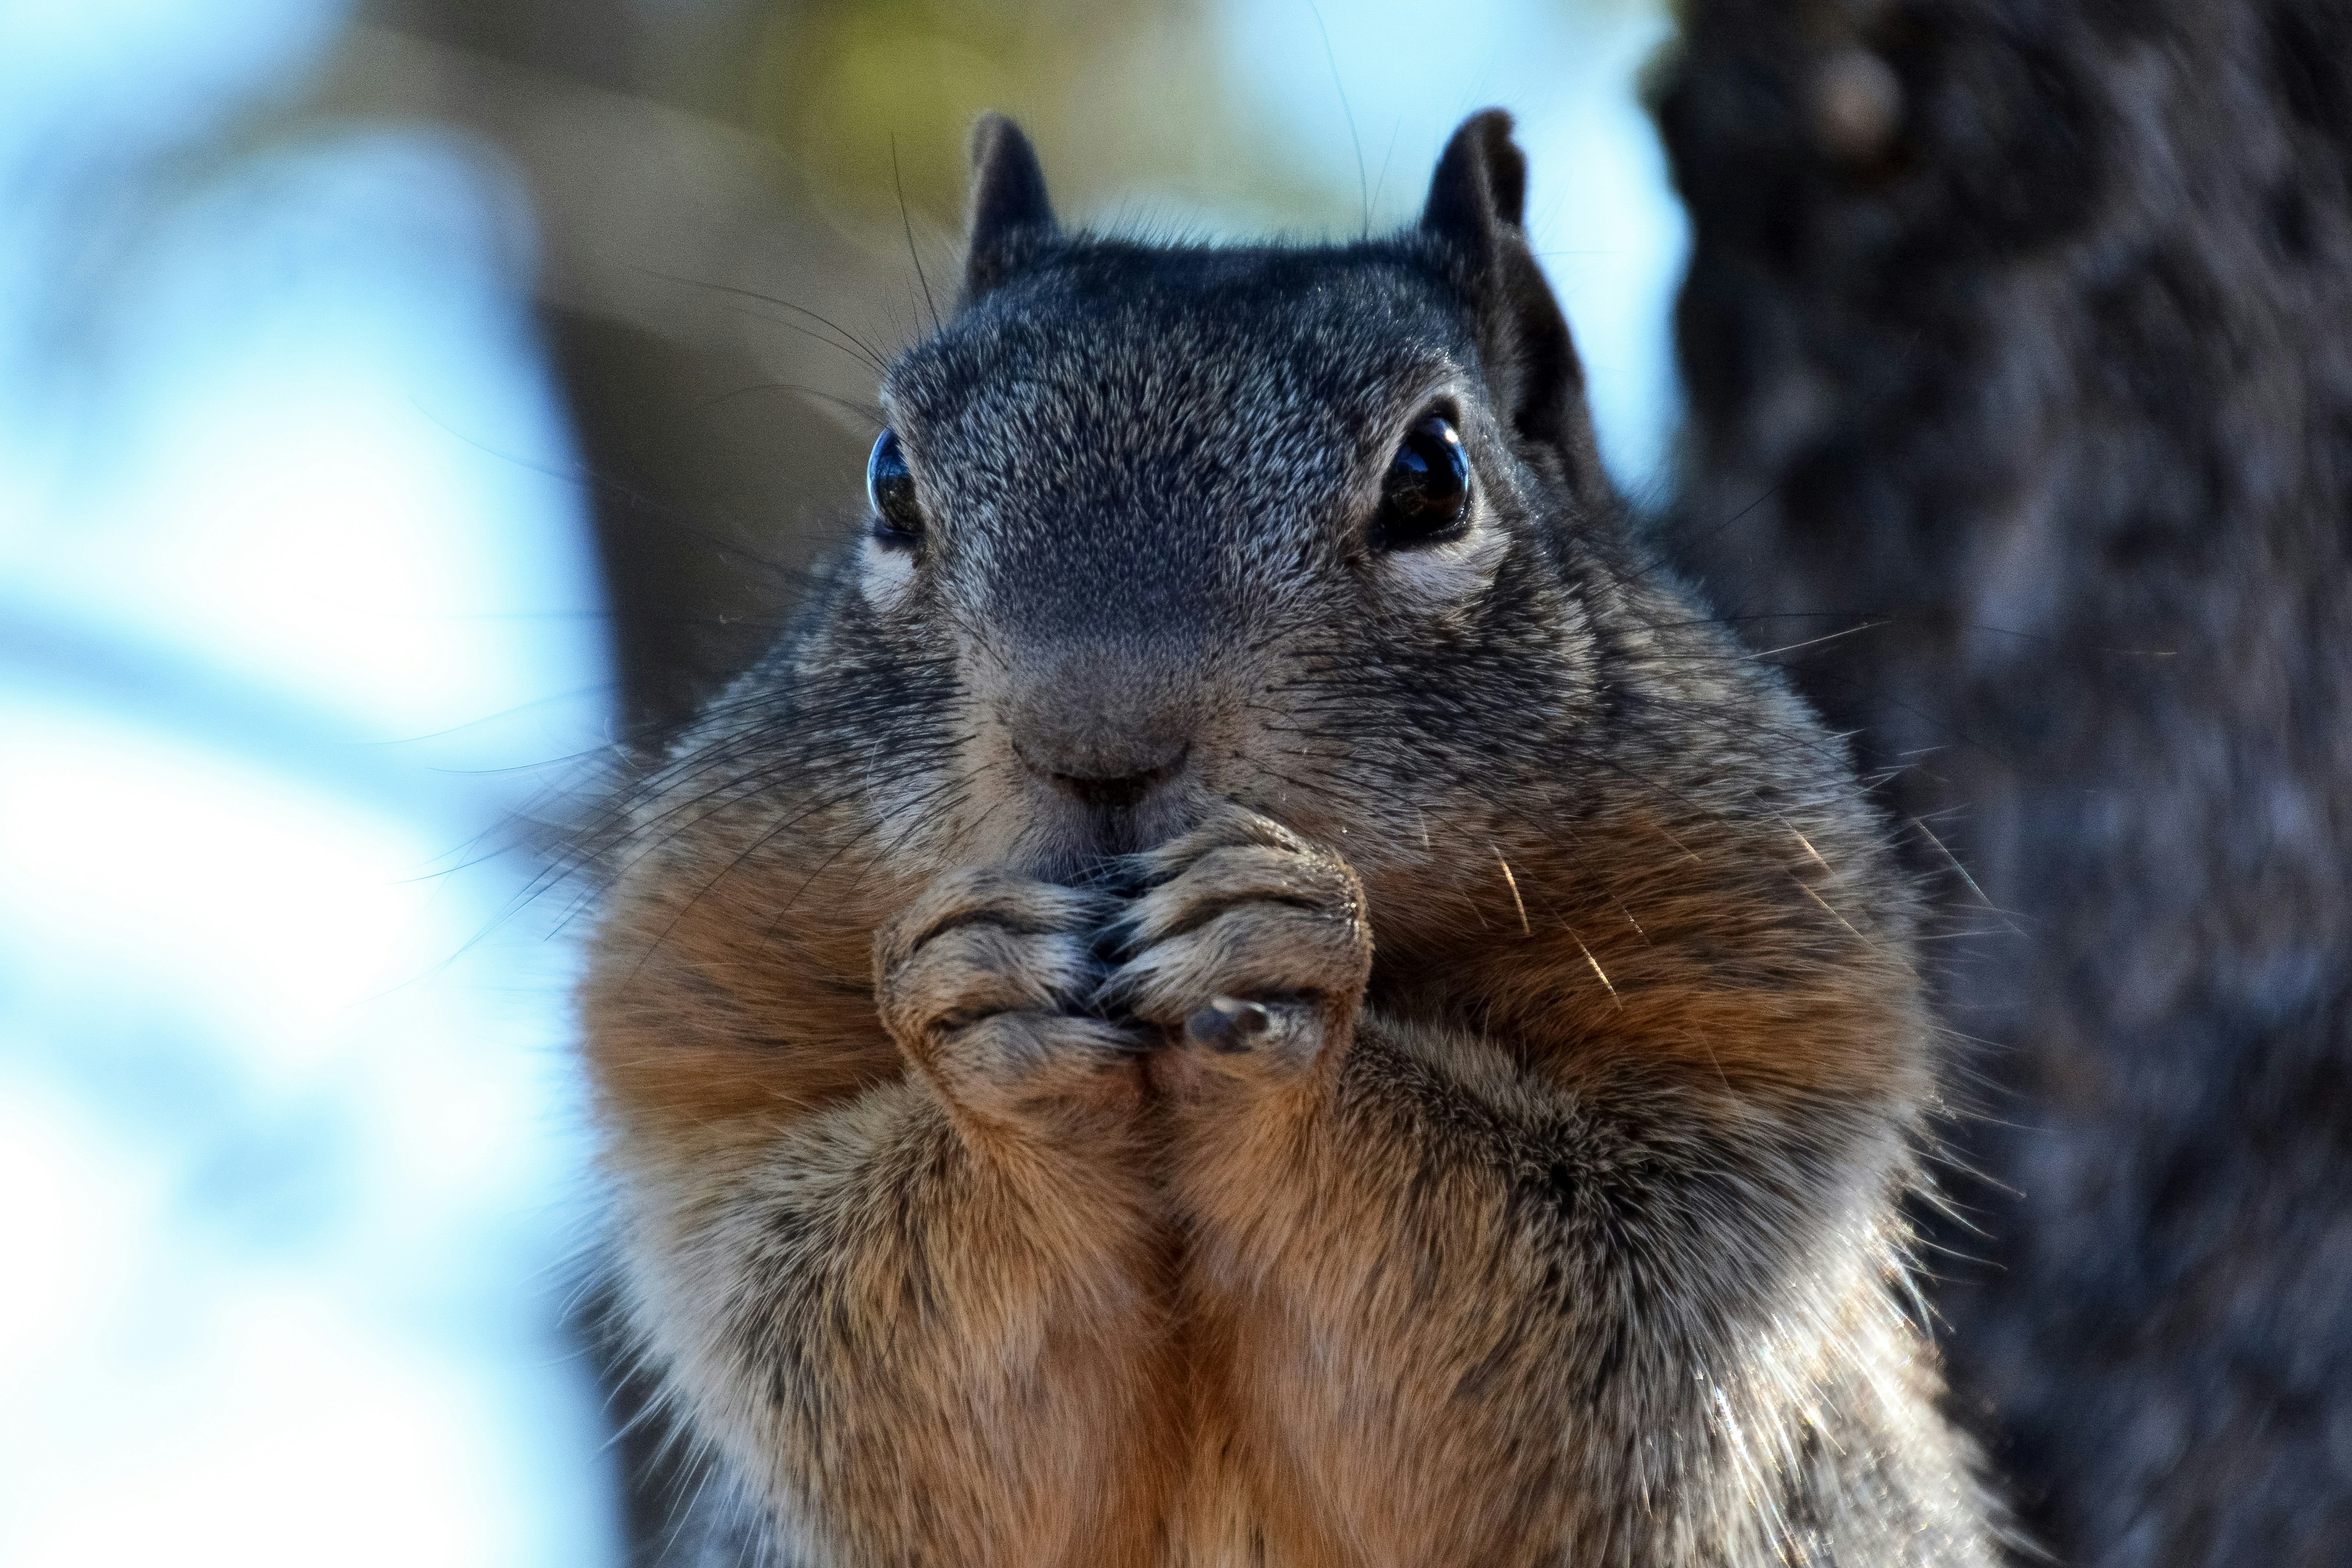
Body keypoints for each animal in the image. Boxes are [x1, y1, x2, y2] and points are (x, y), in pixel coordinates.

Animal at [578, 113, 1994, 1568]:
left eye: (1432, 476)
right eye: (887, 478)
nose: (1096, 739)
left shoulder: (1757, 1063)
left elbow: (1575, 1380)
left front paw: (1281, 967)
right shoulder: (707, 1106)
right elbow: (892, 1405)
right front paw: (978, 1009)